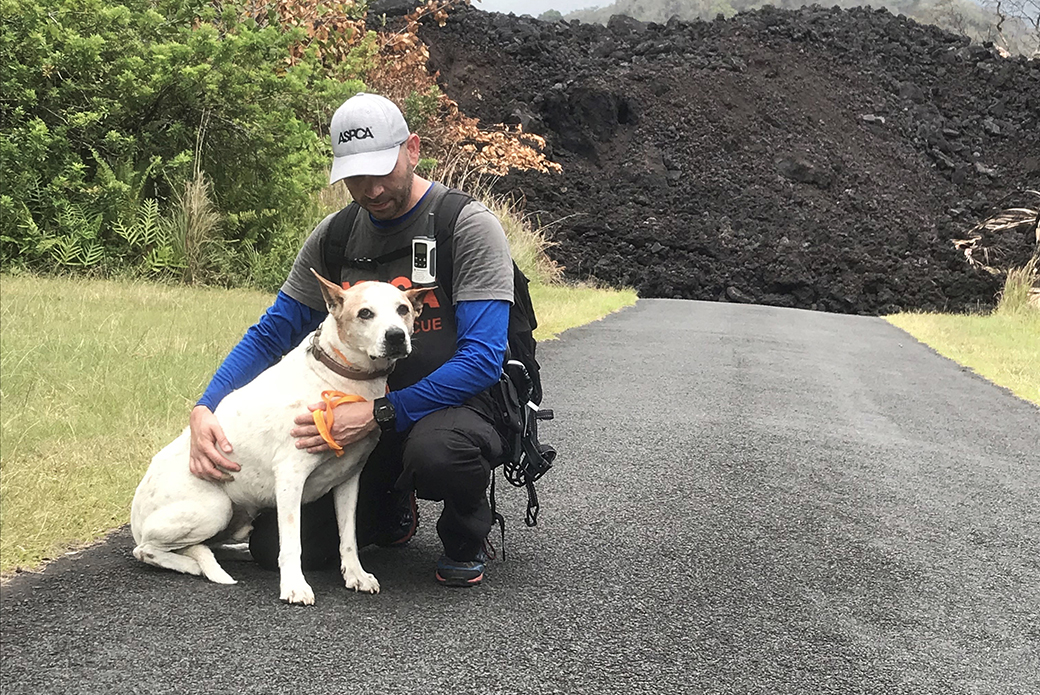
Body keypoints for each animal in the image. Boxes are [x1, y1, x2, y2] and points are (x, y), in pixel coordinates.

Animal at [131, 274, 430, 603]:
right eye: (365, 313)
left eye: (403, 309)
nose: (396, 337)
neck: (341, 378)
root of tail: (135, 517)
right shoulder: (290, 477)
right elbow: (291, 543)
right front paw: (294, 586)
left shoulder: (349, 480)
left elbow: (348, 537)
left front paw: (355, 575)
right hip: (214, 508)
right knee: (147, 550)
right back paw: (193, 566)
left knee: (204, 545)